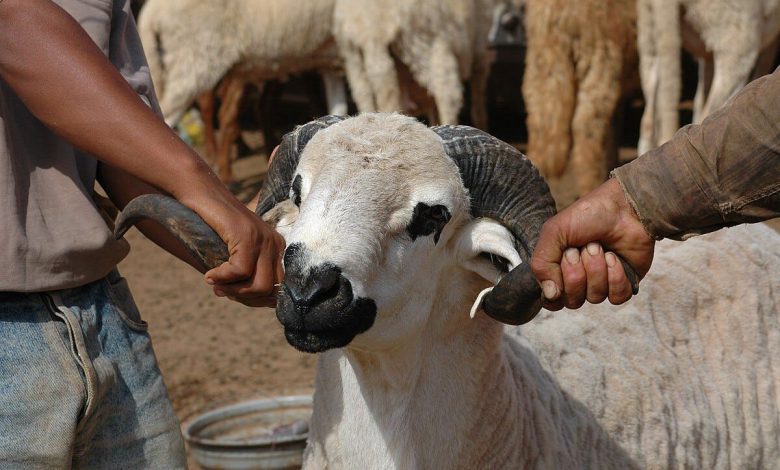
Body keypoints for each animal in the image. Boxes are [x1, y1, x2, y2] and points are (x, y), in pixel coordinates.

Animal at [332, 0, 496, 129]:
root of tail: (373, 33)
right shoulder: (480, 52)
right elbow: (478, 105)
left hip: (355, 61)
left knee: (366, 95)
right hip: (426, 45)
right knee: (447, 94)